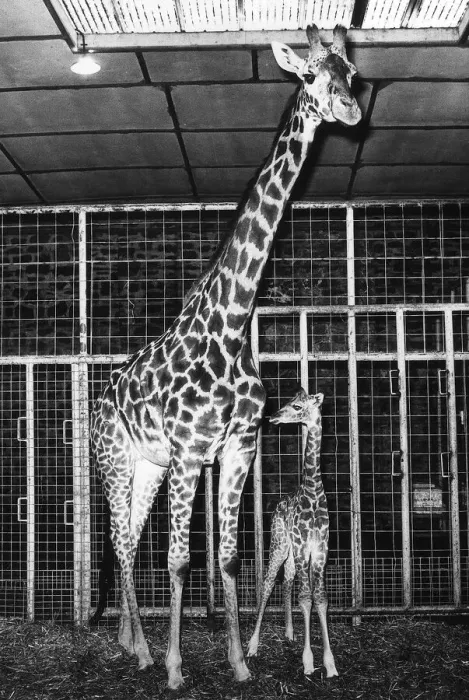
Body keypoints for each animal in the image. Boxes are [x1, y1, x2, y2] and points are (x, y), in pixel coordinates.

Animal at [247, 390, 337, 677]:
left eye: (297, 406)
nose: (273, 416)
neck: (314, 492)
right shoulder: (301, 546)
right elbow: (306, 598)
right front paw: (308, 661)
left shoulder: (320, 550)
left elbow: (320, 599)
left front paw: (330, 663)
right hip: (279, 545)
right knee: (267, 584)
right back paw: (252, 646)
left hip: (289, 553)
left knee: (286, 581)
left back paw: (289, 633)